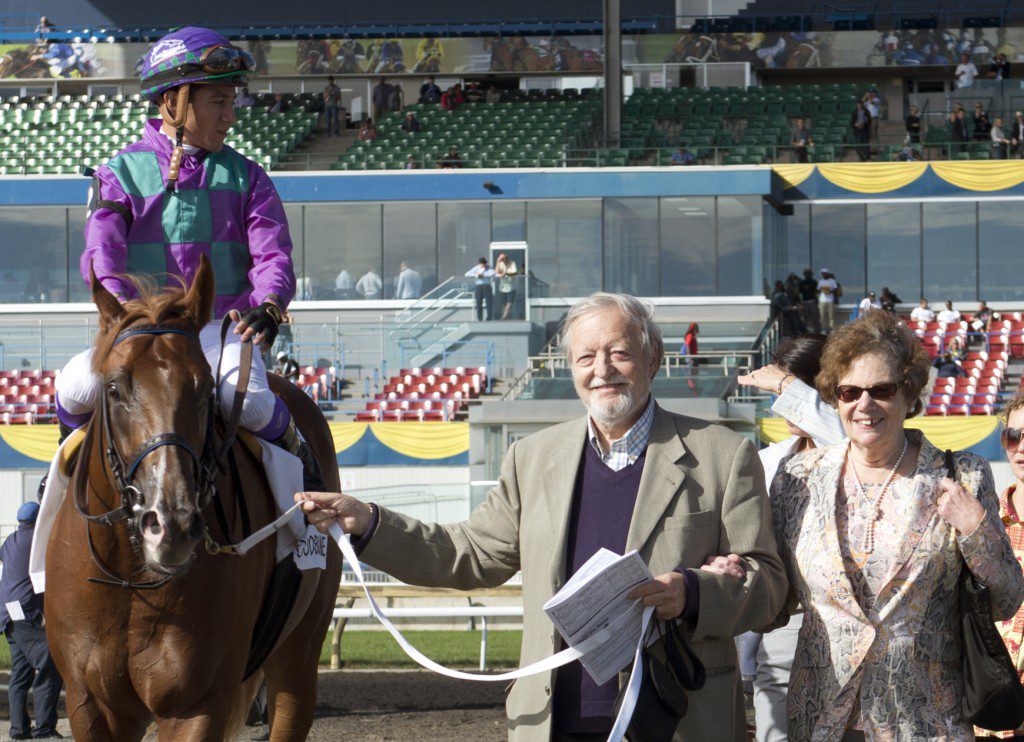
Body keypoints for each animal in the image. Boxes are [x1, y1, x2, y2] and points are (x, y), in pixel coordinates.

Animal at [44, 257, 342, 741]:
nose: (171, 526)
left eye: (205, 390)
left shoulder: (197, 703)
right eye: (114, 389)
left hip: (299, 654)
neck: (132, 579)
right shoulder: (91, 705)